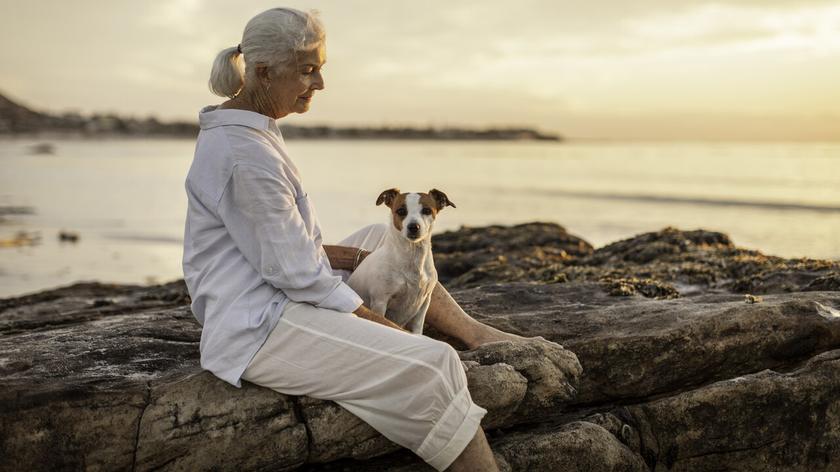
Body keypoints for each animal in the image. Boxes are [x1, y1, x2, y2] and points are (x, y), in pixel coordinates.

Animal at [346, 186, 456, 334]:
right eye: (401, 211)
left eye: (427, 210)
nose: (413, 227)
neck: (412, 257)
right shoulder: (380, 302)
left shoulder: (424, 304)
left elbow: (417, 330)